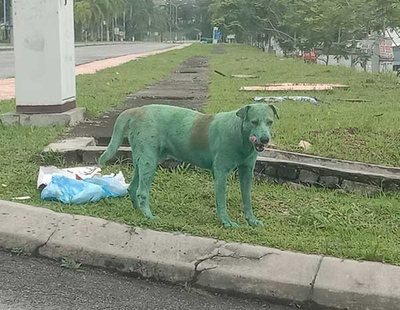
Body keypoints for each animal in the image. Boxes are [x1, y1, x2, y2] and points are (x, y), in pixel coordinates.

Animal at [98, 103, 278, 226]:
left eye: (270, 122)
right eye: (254, 122)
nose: (265, 139)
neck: (240, 134)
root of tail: (137, 110)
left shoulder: (247, 172)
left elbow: (247, 198)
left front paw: (252, 220)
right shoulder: (220, 173)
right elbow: (221, 201)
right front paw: (226, 222)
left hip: (142, 161)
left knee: (132, 187)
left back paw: (138, 211)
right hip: (149, 161)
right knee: (142, 191)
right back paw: (149, 216)